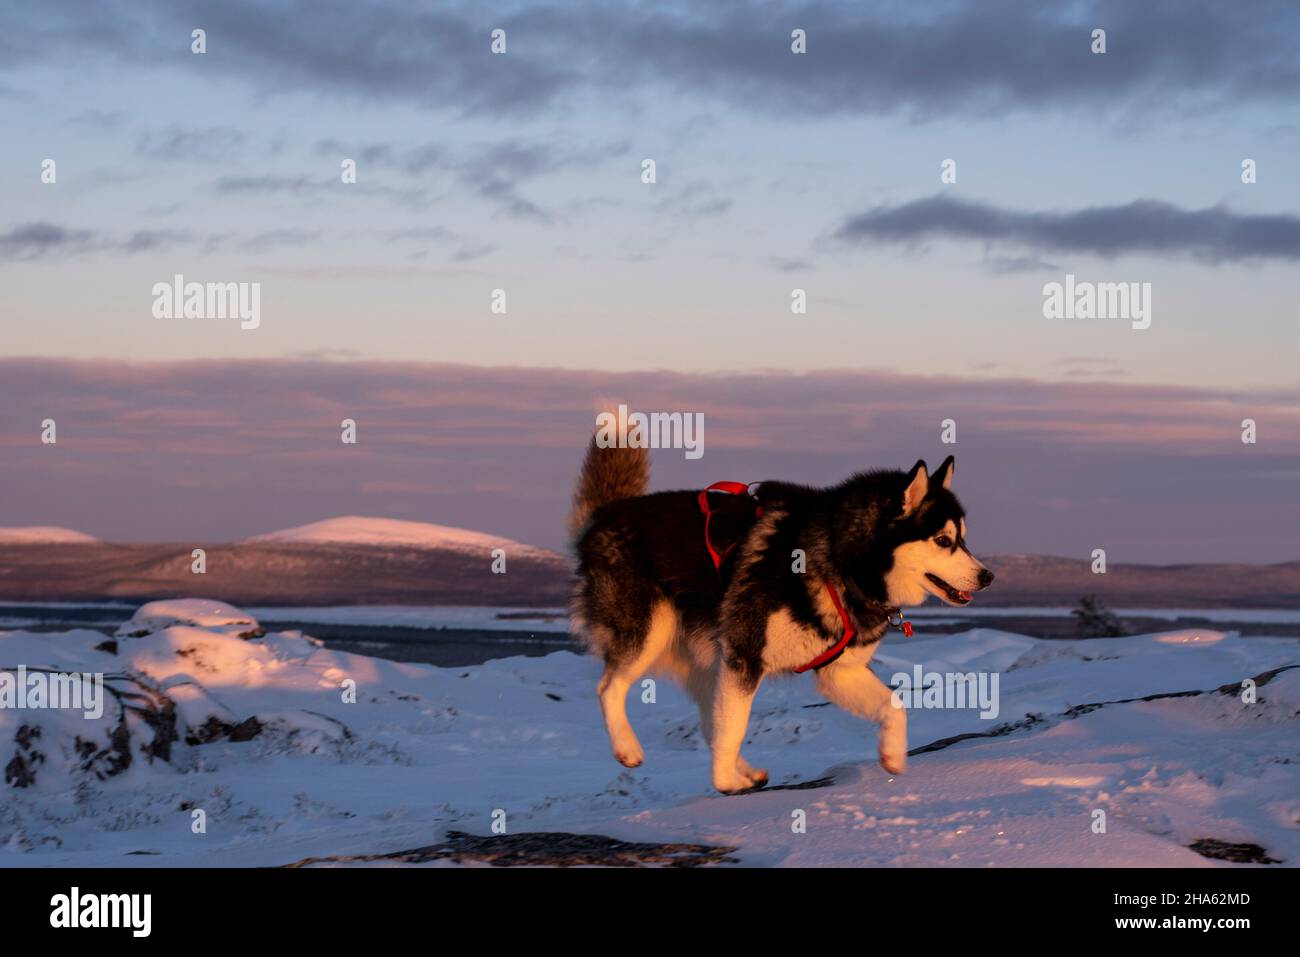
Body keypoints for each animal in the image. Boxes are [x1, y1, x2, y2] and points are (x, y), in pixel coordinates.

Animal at [569, 442, 993, 790]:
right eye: (943, 540)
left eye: (964, 538)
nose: (987, 576)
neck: (838, 560)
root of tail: (605, 516)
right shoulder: (746, 655)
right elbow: (735, 726)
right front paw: (723, 783)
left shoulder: (839, 671)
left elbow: (895, 707)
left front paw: (891, 754)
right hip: (651, 631)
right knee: (610, 688)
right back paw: (629, 748)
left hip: (708, 659)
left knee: (710, 722)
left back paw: (744, 770)